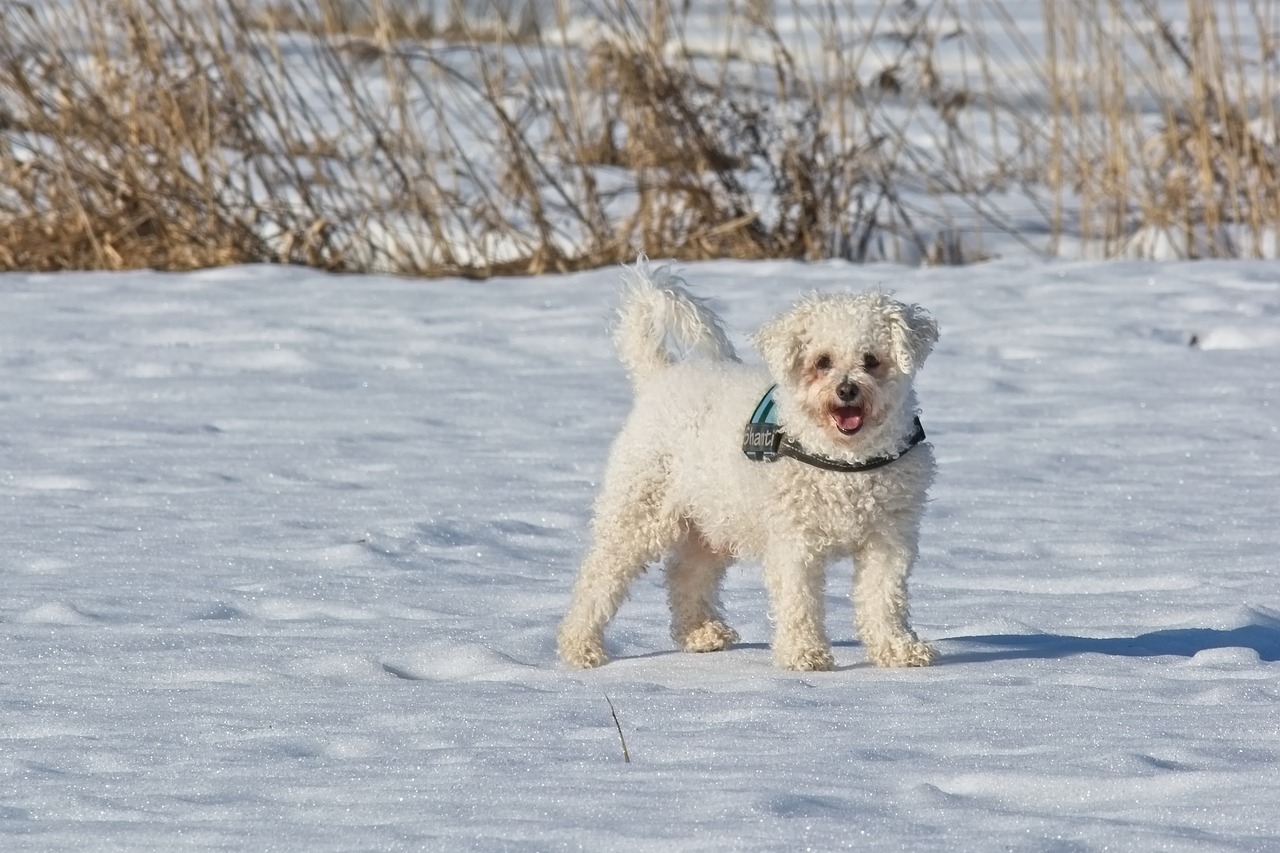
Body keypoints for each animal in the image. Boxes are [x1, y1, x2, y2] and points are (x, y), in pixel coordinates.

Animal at [560, 256, 942, 666]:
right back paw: (581, 645)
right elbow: (799, 599)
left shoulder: (888, 539)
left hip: (713, 519)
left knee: (685, 573)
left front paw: (898, 649)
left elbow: (884, 599)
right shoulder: (793, 541)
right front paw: (803, 653)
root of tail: (661, 375)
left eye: (871, 360)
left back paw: (701, 633)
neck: (844, 461)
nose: (846, 390)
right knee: (599, 576)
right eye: (822, 361)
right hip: (639, 510)